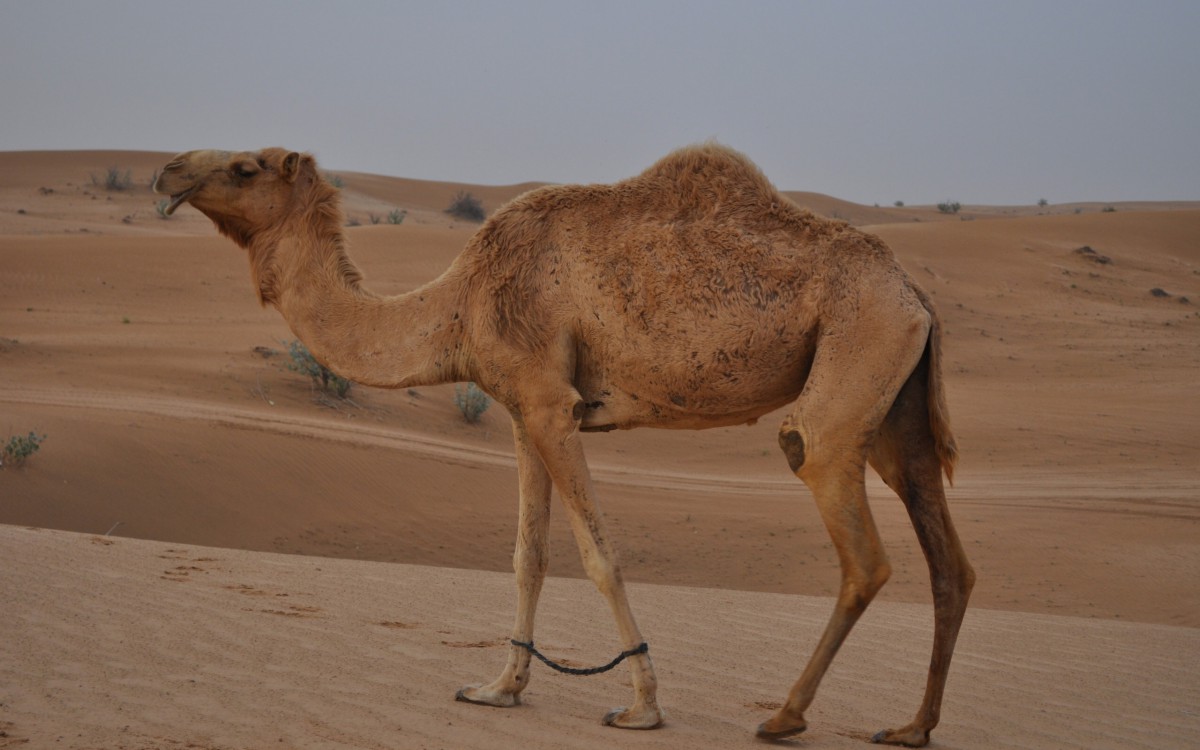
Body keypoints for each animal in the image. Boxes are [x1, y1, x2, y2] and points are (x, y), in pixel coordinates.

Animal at [152, 144, 974, 744]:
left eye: (245, 166)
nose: (166, 170)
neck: (458, 303)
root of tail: (914, 294)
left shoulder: (552, 404)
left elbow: (598, 556)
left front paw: (641, 705)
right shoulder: (523, 408)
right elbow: (528, 556)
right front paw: (499, 688)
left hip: (849, 372)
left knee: (857, 543)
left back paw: (783, 715)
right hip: (895, 407)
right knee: (950, 563)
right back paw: (912, 727)